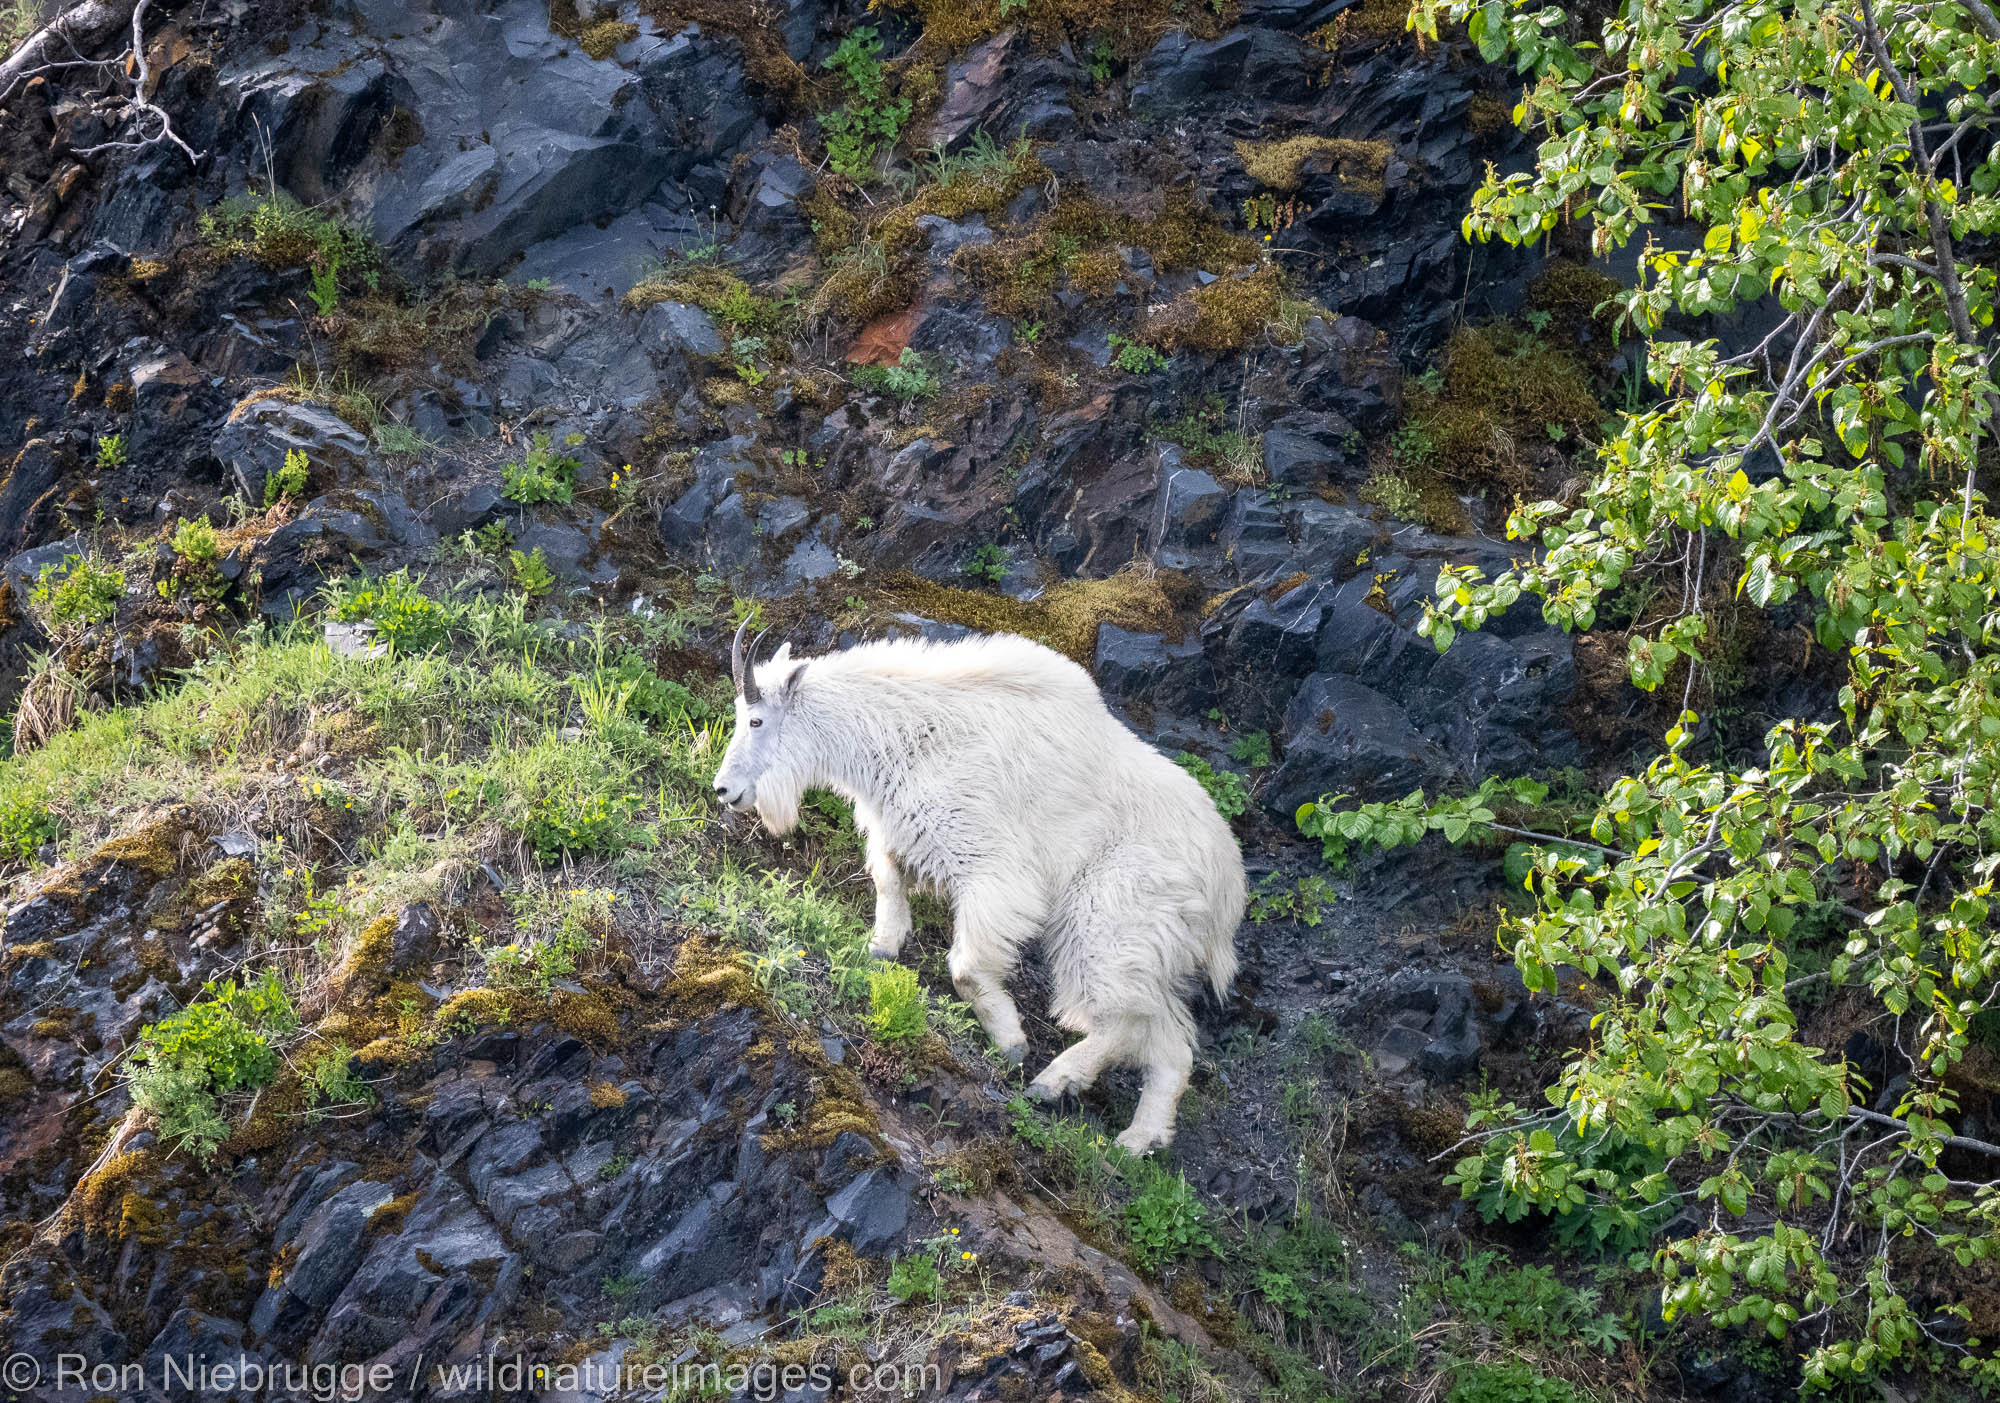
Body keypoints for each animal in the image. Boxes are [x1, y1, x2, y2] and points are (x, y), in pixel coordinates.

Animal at [712, 623, 1240, 1151]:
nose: (724, 790)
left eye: (756, 720)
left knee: (1127, 1021)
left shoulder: (992, 868)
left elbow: (966, 967)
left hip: (1107, 921)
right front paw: (882, 946)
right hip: (1147, 948)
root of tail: (1227, 885)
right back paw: (1139, 1139)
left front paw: (1011, 1042)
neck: (904, 736)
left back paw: (1054, 1081)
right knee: (1169, 1043)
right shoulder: (899, 829)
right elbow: (888, 878)